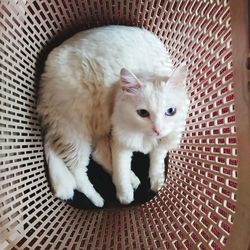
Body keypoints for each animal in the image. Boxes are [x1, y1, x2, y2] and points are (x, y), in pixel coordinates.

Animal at [38, 24, 188, 207]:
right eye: (142, 113)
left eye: (170, 111)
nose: (157, 130)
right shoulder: (120, 138)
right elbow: (121, 170)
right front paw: (125, 197)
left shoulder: (163, 142)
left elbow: (156, 162)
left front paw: (157, 183)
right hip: (76, 132)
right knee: (78, 172)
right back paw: (98, 200)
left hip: (95, 128)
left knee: (99, 156)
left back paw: (134, 180)